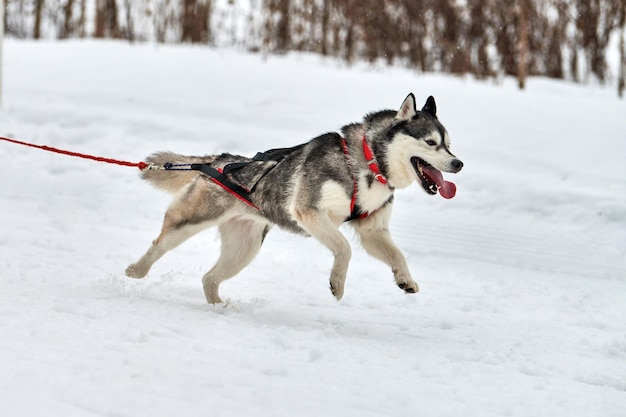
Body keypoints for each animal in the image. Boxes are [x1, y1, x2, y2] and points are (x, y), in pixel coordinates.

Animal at [124, 94, 460, 302]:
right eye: (430, 142)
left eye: (448, 144)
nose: (459, 164)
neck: (368, 163)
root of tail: (220, 160)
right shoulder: (309, 212)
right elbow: (345, 248)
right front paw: (337, 282)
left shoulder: (372, 230)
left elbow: (397, 255)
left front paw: (405, 279)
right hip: (192, 220)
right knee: (159, 244)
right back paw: (136, 270)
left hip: (243, 250)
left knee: (209, 278)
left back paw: (222, 308)